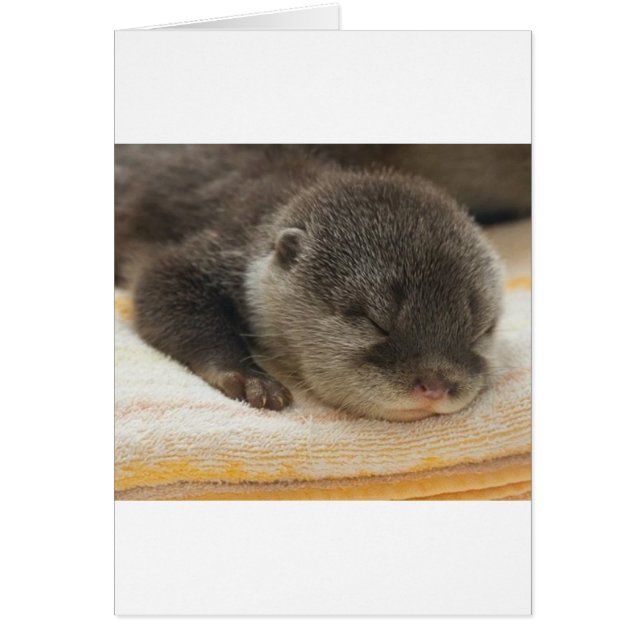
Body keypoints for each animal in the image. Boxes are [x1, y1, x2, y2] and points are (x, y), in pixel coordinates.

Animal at [115, 145, 505, 422]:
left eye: (478, 331)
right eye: (375, 322)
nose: (436, 386)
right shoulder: (216, 245)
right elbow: (159, 285)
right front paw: (249, 377)